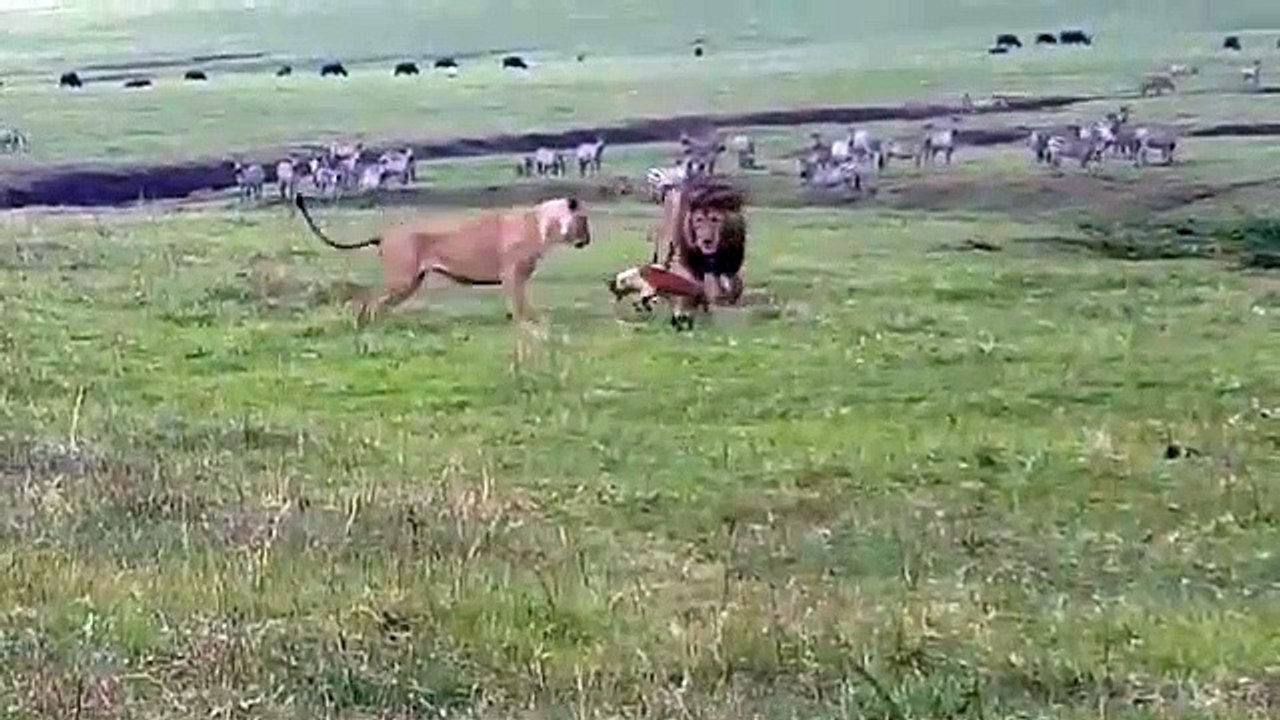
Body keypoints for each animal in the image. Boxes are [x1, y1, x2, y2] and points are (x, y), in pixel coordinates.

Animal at [294, 193, 591, 326]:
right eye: (584, 220)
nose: (588, 240)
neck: (545, 226)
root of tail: (385, 233)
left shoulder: (516, 277)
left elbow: (519, 302)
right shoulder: (512, 274)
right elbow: (519, 303)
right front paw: (528, 322)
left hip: (411, 282)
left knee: (374, 303)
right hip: (402, 280)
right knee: (369, 302)